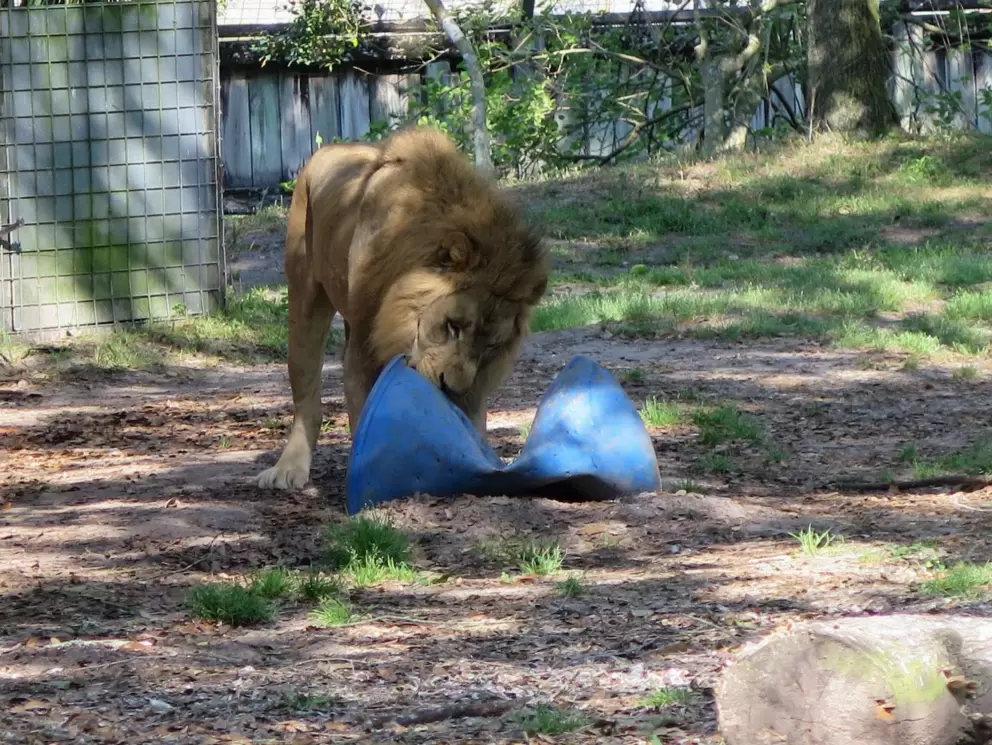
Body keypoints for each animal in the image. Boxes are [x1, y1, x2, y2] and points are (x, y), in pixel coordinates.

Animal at [257, 126, 550, 491]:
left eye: (493, 345)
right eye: (453, 325)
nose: (452, 389)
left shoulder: (476, 378)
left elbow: (470, 421)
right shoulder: (364, 346)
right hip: (304, 300)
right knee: (307, 398)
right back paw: (288, 469)